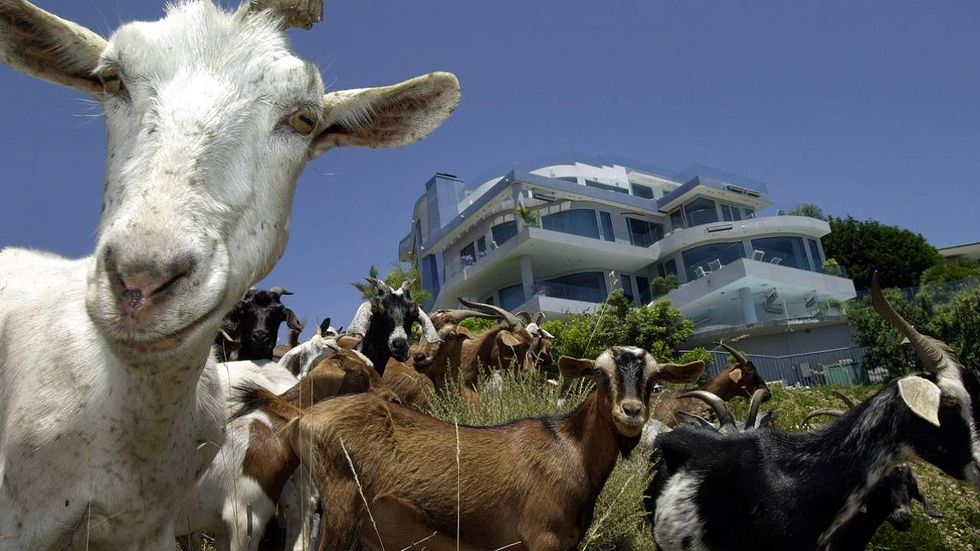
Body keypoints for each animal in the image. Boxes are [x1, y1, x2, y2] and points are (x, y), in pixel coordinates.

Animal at [287, 347, 704, 550]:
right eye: (600, 375)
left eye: (654, 378)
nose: (631, 412)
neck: (569, 446)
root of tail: (302, 420)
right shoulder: (544, 537)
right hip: (342, 509)